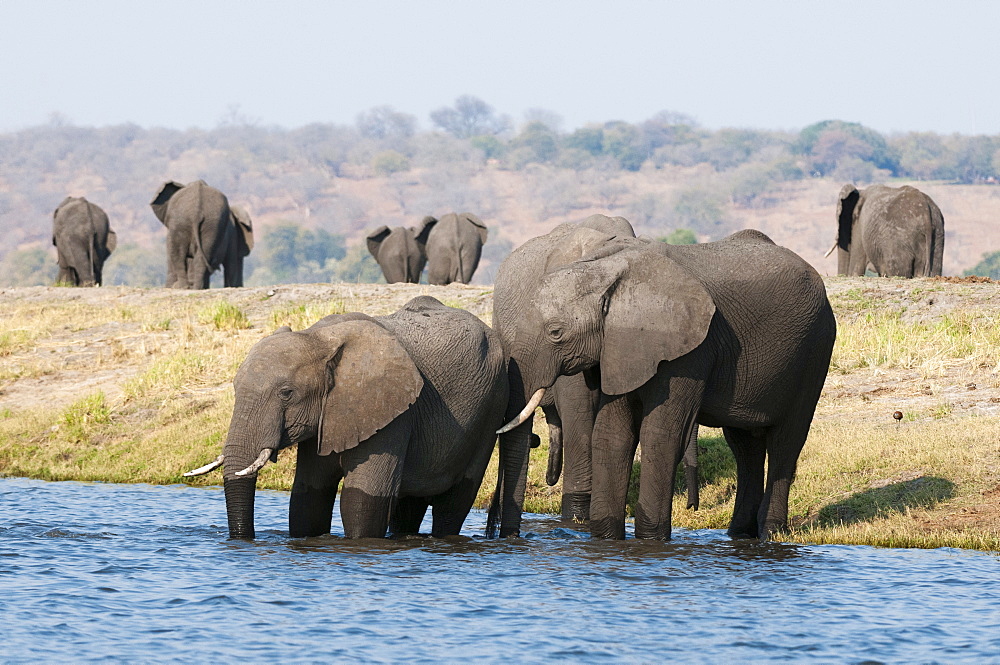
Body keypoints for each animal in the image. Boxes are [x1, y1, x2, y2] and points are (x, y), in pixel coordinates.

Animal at [184, 296, 508, 540]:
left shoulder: (392, 412)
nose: (244, 539)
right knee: (409, 507)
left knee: (454, 504)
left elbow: (362, 502)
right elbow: (308, 498)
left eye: (286, 393)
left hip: (492, 406)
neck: (318, 339)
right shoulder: (328, 416)